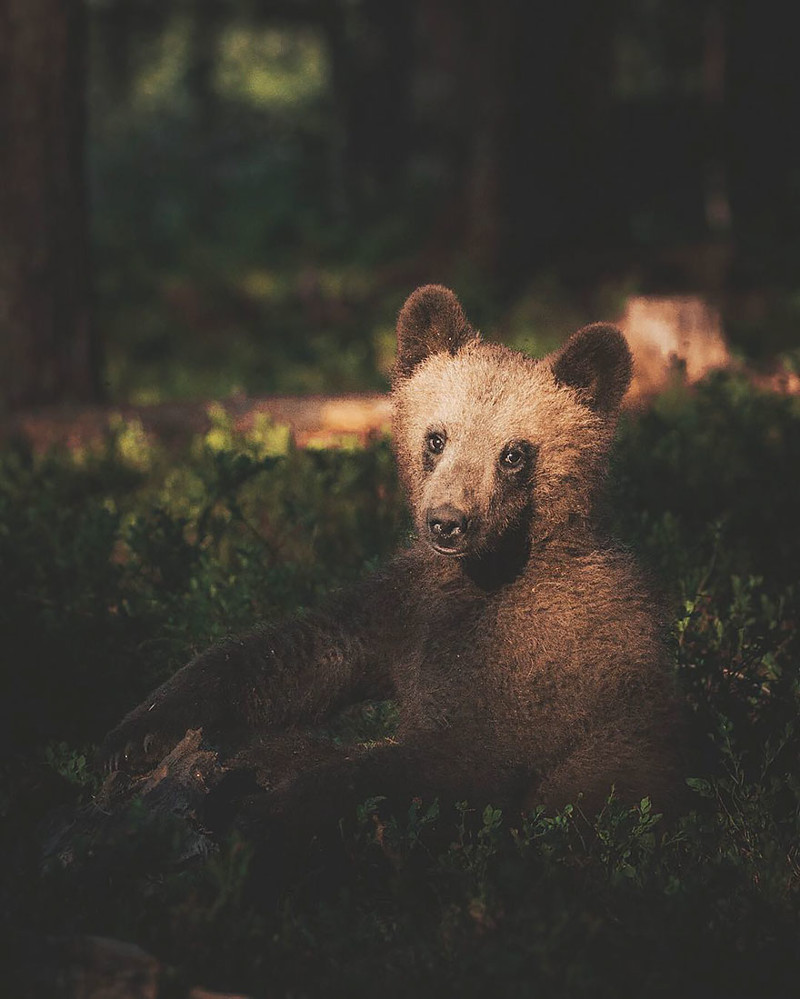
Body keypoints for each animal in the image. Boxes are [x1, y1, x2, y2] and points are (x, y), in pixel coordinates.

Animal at [103, 286, 684, 832]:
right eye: (436, 437)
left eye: (514, 453)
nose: (448, 521)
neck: (489, 571)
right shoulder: (406, 604)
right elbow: (299, 649)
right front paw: (139, 733)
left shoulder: (540, 664)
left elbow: (452, 760)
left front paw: (266, 808)